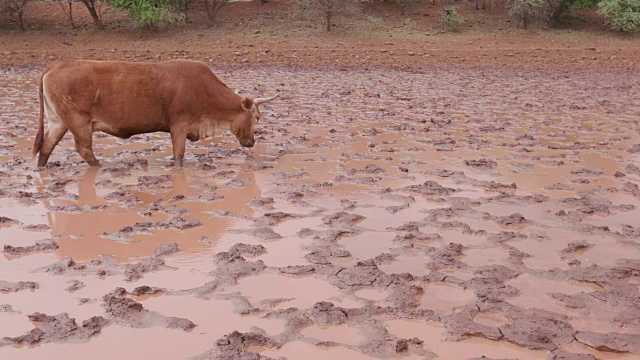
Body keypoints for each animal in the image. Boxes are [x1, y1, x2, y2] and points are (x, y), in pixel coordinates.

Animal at [31, 59, 278, 168]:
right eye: (256, 118)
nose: (251, 142)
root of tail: (57, 66)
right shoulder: (179, 124)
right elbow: (178, 154)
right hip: (79, 122)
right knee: (84, 149)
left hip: (58, 122)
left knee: (46, 147)